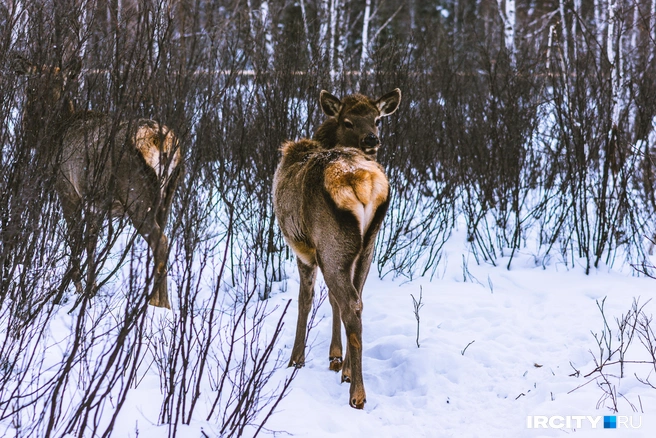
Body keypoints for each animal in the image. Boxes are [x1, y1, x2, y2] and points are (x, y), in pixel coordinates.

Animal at [270, 87, 400, 408]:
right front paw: (336, 359)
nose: (372, 140)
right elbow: (331, 301)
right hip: (367, 246)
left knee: (350, 303)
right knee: (356, 300)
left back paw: (358, 394)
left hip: (332, 244)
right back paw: (351, 375)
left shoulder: (302, 248)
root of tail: (361, 182)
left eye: (378, 119)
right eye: (349, 121)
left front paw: (296, 359)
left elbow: (305, 299)